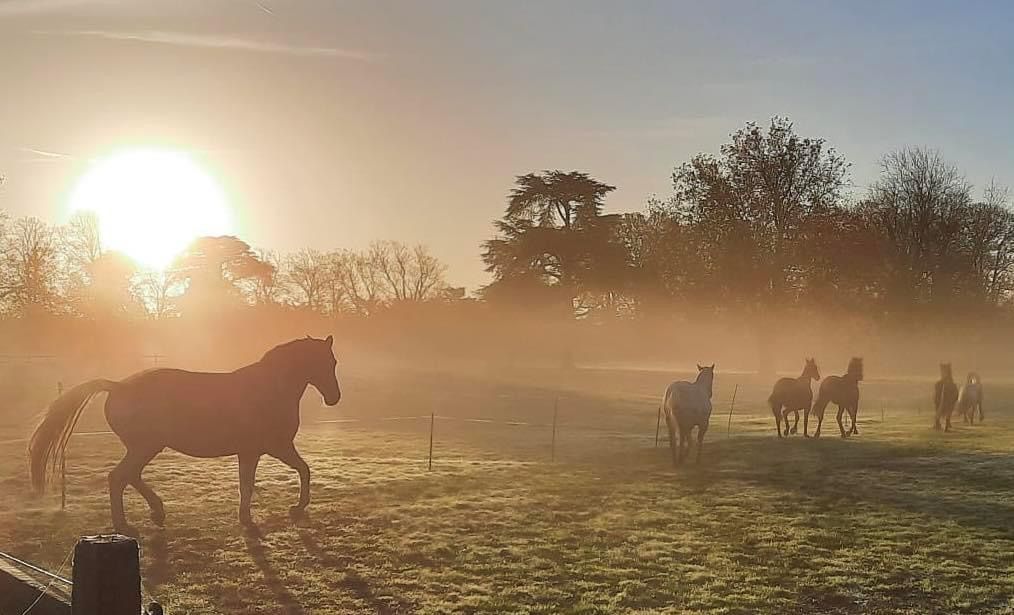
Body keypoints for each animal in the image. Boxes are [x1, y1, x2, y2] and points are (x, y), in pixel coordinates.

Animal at [28, 336, 340, 534]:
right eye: (326, 362)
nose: (334, 398)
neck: (270, 389)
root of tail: (117, 386)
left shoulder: (266, 450)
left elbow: (291, 473)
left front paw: (277, 512)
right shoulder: (268, 448)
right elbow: (264, 481)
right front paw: (278, 513)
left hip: (146, 447)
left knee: (130, 476)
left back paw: (157, 512)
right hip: (145, 447)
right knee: (119, 477)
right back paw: (125, 525)